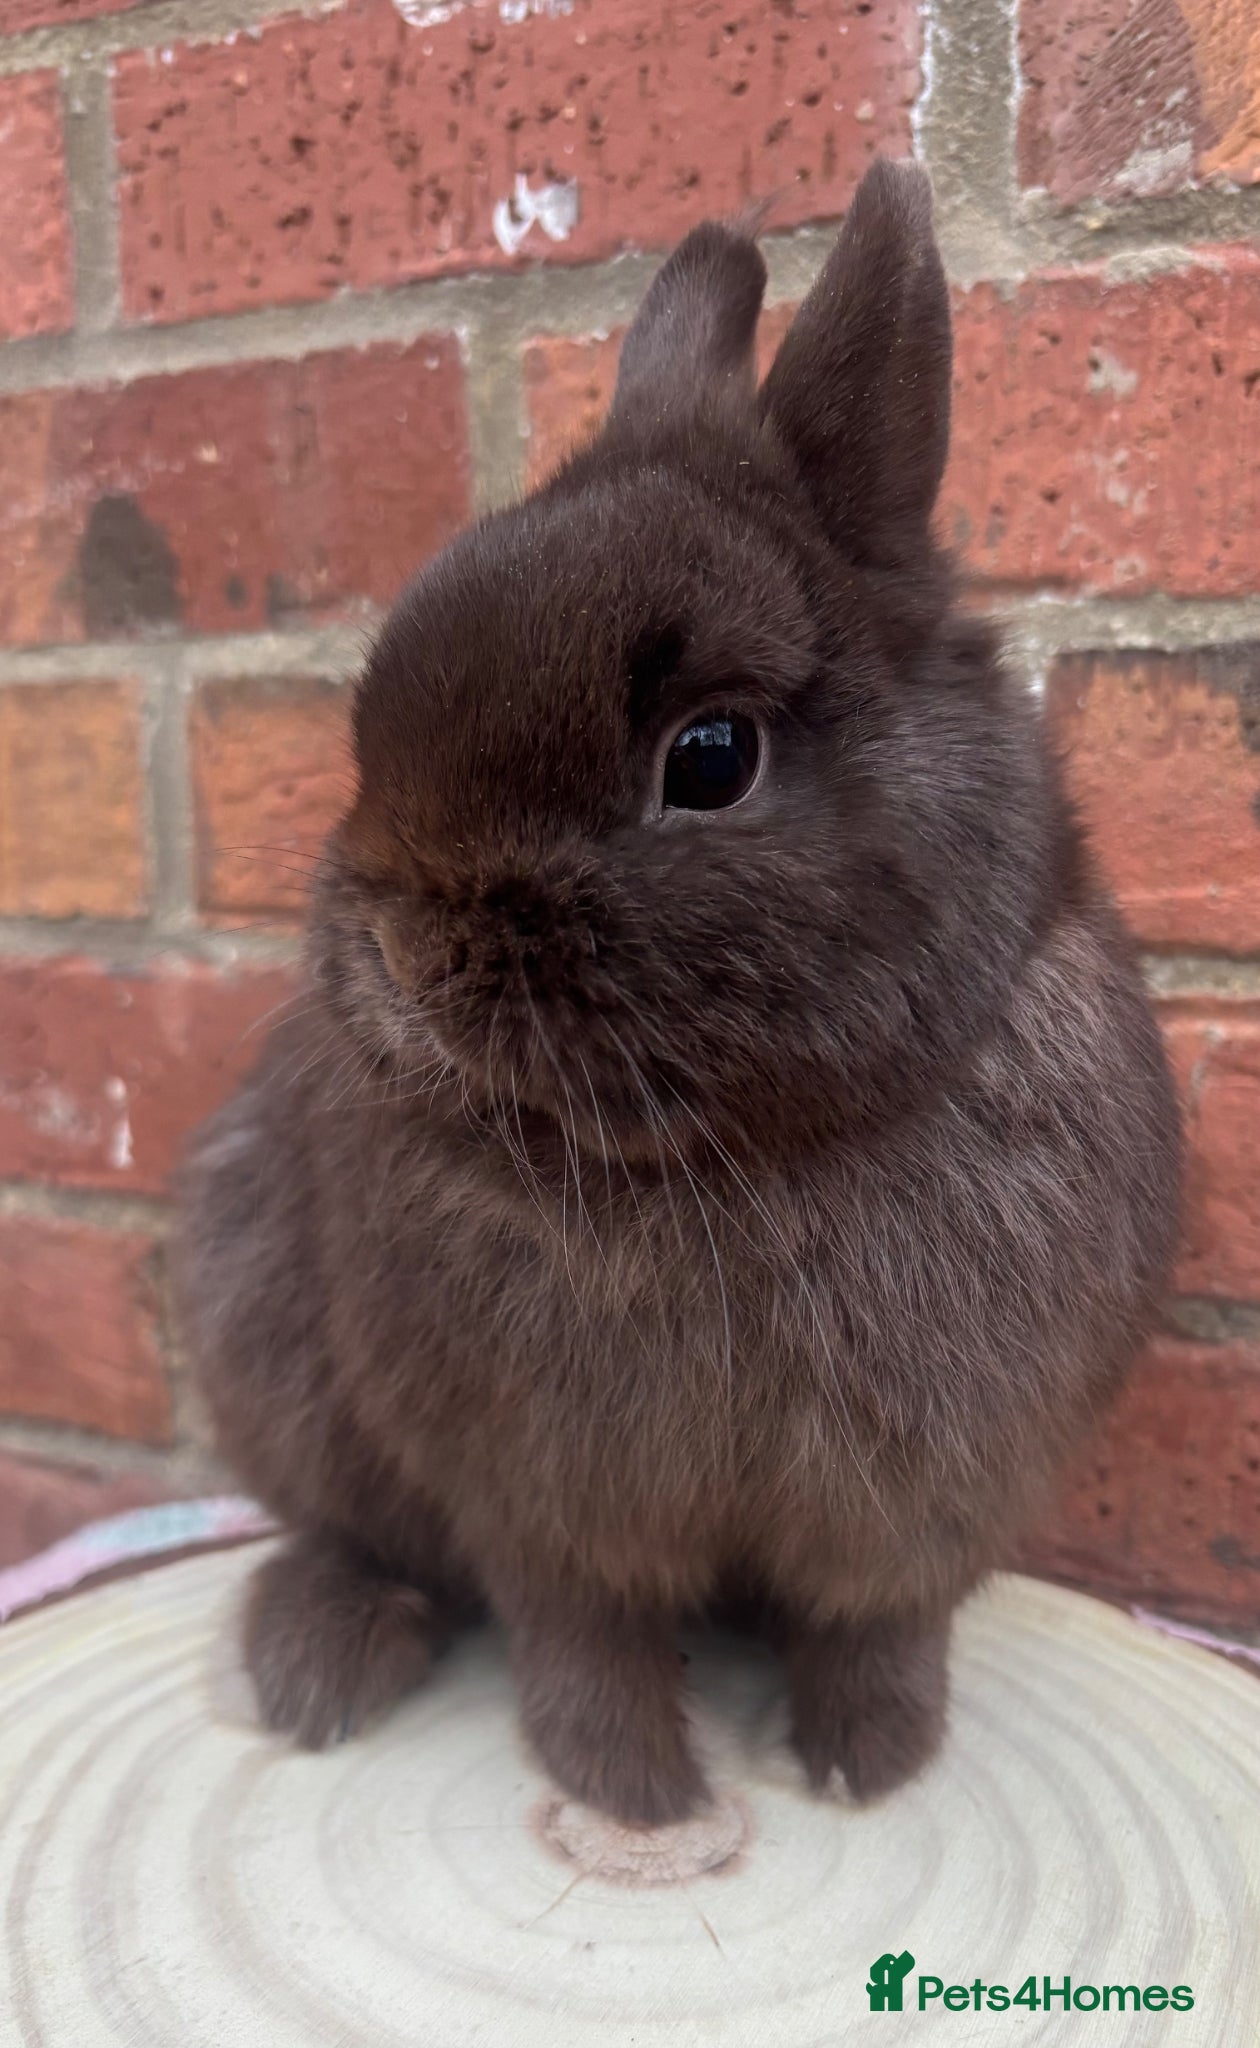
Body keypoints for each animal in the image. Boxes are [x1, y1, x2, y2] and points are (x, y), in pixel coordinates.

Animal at [174, 159, 1181, 1827]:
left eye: (709, 758)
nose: (392, 957)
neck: (737, 1159)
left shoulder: (926, 1495)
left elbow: (880, 1623)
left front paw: (867, 1767)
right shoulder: (537, 1492)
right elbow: (579, 1634)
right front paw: (639, 1797)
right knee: (356, 1535)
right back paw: (321, 1664)